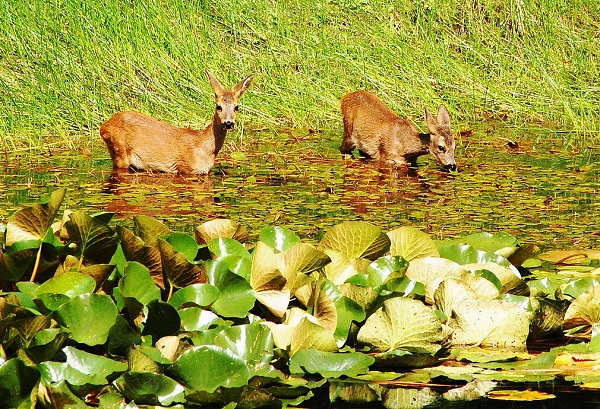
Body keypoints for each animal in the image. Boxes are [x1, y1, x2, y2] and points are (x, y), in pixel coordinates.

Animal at [100, 71, 253, 174]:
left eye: (236, 107)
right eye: (218, 106)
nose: (228, 123)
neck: (204, 147)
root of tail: (104, 126)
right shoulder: (186, 168)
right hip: (119, 151)